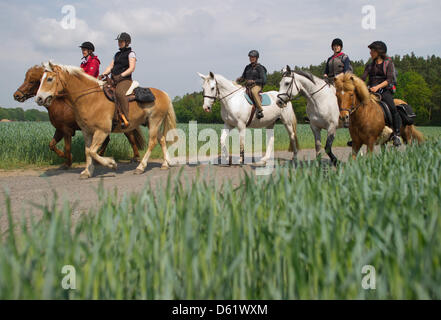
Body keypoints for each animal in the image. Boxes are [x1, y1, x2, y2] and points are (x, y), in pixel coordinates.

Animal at [13, 64, 144, 168]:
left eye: (32, 81)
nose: (16, 95)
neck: (61, 103)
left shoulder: (66, 130)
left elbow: (67, 147)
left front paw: (68, 161)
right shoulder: (59, 129)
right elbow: (52, 145)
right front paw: (66, 158)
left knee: (131, 138)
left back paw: (135, 157)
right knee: (108, 140)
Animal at [34, 61, 175, 179]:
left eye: (49, 79)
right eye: (40, 80)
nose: (39, 98)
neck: (91, 98)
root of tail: (164, 94)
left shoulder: (102, 131)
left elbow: (92, 151)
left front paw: (111, 163)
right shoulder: (87, 131)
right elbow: (88, 151)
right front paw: (87, 171)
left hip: (154, 121)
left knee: (152, 142)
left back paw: (140, 167)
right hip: (152, 123)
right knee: (162, 139)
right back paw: (165, 164)